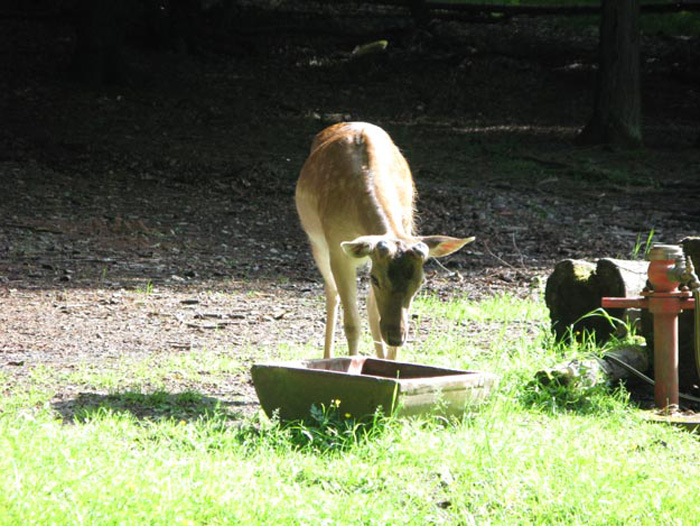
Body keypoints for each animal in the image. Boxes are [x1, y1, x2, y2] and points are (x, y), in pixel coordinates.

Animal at [296, 124, 476, 364]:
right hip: (317, 242)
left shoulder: (406, 226)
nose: (396, 336)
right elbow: (352, 324)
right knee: (332, 293)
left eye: (421, 282)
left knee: (370, 309)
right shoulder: (337, 246)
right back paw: (327, 357)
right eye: (375, 279)